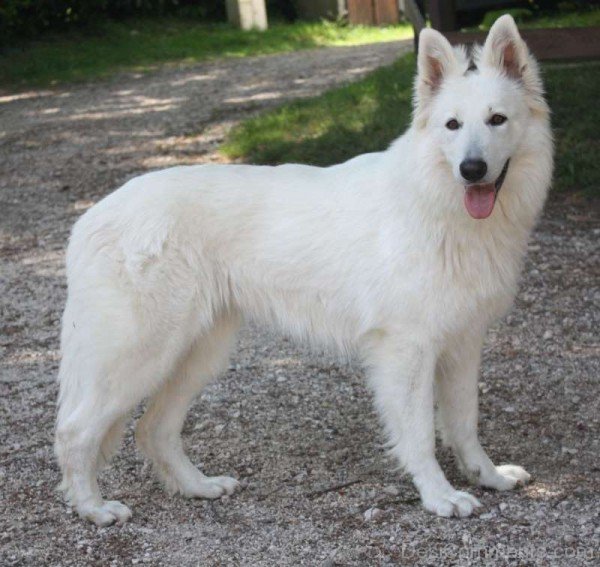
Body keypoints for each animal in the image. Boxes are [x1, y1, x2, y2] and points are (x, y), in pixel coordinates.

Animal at [56, 14, 552, 528]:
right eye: (452, 125)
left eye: (497, 120)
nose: (471, 169)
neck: (436, 202)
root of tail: (91, 218)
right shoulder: (407, 350)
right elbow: (419, 435)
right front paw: (439, 496)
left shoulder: (463, 344)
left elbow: (464, 423)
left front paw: (487, 476)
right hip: (139, 355)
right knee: (74, 431)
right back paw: (93, 508)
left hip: (197, 354)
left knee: (153, 429)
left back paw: (198, 487)